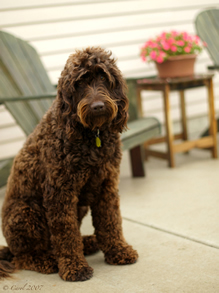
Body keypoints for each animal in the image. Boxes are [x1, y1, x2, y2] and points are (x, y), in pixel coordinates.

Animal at [0, 46, 139, 280]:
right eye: (80, 83)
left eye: (103, 77)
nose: (97, 106)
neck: (92, 135)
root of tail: (8, 248)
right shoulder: (59, 192)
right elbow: (65, 233)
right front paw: (74, 266)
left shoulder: (107, 185)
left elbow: (110, 221)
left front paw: (118, 250)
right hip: (27, 211)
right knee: (24, 256)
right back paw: (47, 260)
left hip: (78, 206)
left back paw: (89, 242)